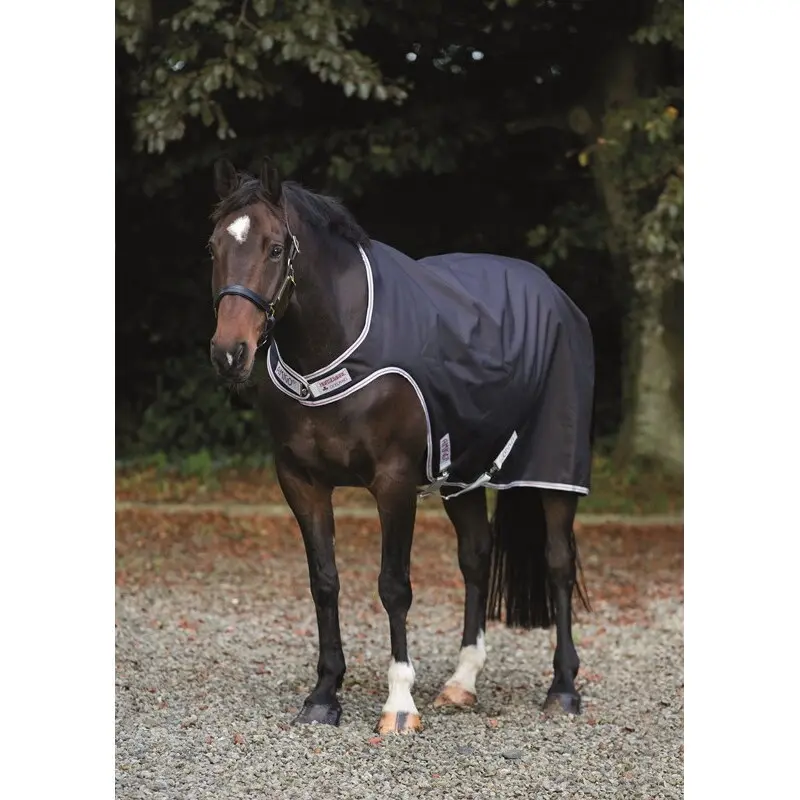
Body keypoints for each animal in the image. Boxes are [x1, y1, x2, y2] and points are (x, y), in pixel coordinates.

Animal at [207, 157, 594, 734]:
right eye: (213, 246)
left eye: (274, 248)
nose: (230, 353)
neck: (339, 347)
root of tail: (556, 294)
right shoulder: (301, 482)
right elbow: (324, 581)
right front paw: (324, 695)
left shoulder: (393, 483)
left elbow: (393, 586)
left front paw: (399, 704)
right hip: (463, 476)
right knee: (476, 557)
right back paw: (462, 682)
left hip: (555, 471)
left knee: (558, 563)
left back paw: (563, 689)